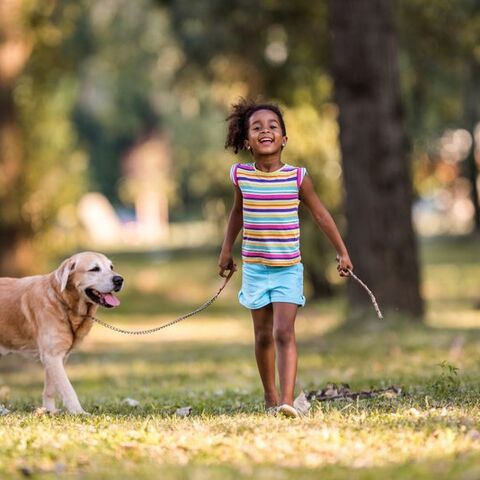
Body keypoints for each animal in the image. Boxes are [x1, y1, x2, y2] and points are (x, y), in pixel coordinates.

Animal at [0, 251, 124, 412]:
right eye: (94, 269)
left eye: (111, 267)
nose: (119, 280)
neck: (62, 300)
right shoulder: (52, 355)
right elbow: (67, 388)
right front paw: (78, 412)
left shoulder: (58, 356)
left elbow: (51, 388)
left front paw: (50, 411)